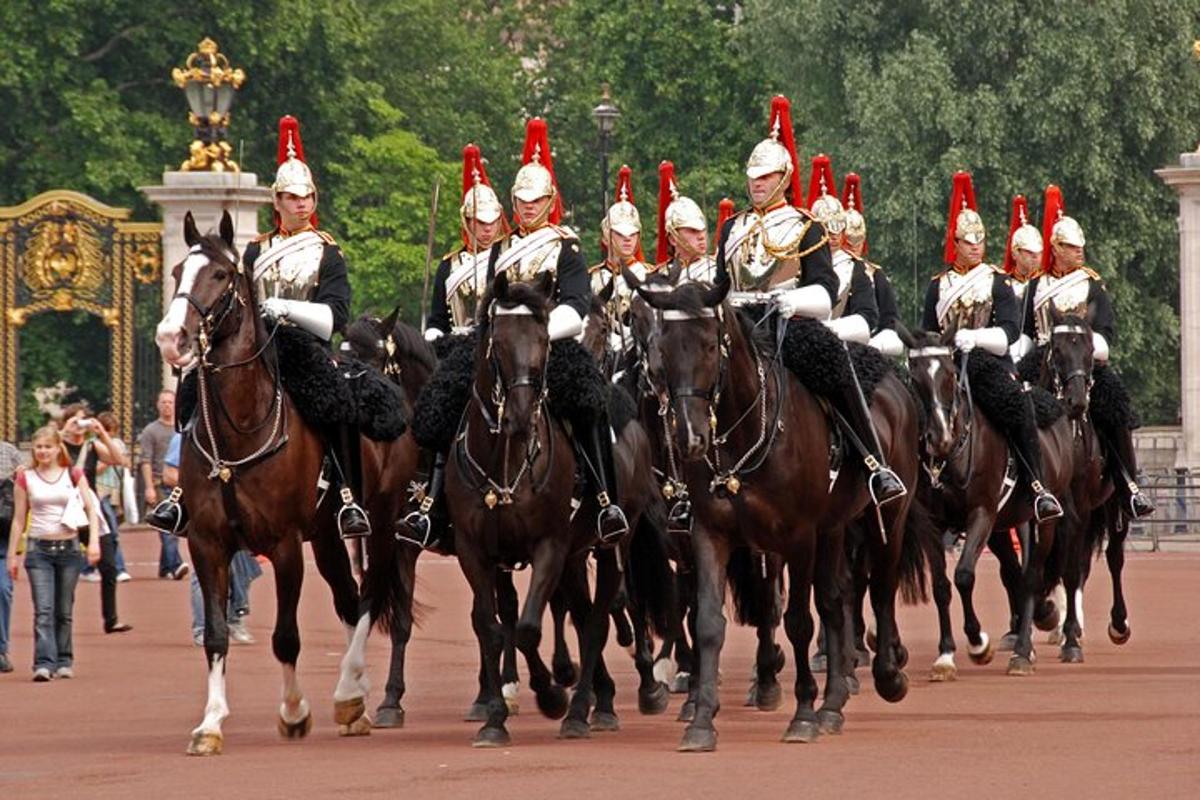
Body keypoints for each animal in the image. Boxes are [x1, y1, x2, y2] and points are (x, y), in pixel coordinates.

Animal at [154, 211, 420, 753]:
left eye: (221, 275)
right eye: (176, 272)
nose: (172, 338)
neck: (239, 429)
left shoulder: (284, 545)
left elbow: (285, 637)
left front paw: (294, 712)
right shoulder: (206, 544)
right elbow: (216, 634)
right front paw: (210, 724)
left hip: (382, 526)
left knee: (367, 596)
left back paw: (348, 691)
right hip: (329, 538)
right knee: (347, 599)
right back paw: (355, 699)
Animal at [448, 272, 657, 748]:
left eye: (544, 340)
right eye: (498, 343)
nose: (521, 418)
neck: (506, 463)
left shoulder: (550, 546)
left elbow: (528, 627)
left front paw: (551, 696)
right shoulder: (473, 552)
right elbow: (490, 627)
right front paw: (495, 718)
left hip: (611, 543)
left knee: (599, 618)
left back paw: (584, 709)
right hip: (577, 554)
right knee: (581, 613)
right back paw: (599, 695)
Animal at [624, 273, 921, 753]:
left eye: (710, 344)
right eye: (664, 344)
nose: (690, 436)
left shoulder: (797, 536)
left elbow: (797, 620)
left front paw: (801, 715)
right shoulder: (708, 534)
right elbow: (708, 620)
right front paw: (701, 719)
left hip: (887, 518)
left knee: (879, 588)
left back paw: (887, 676)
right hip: (833, 527)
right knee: (836, 597)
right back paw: (833, 704)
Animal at [902, 323, 1080, 676]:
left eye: (950, 376)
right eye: (914, 378)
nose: (940, 439)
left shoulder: (981, 513)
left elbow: (964, 575)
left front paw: (977, 643)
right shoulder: (933, 524)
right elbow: (941, 586)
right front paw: (945, 655)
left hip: (1045, 518)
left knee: (1035, 574)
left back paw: (1030, 649)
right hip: (1009, 522)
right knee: (1018, 573)